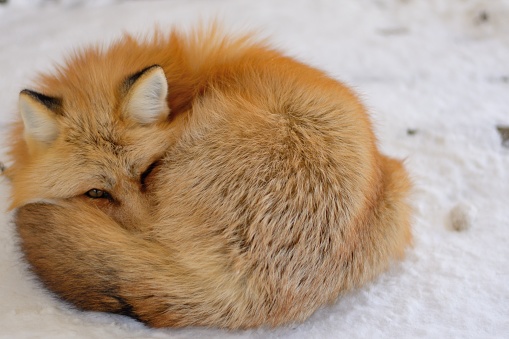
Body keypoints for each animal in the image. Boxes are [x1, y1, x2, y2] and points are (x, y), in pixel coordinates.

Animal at [1, 24, 410, 330]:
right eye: (97, 193)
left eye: (149, 171)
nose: (148, 233)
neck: (184, 86)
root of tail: (247, 293)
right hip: (396, 197)